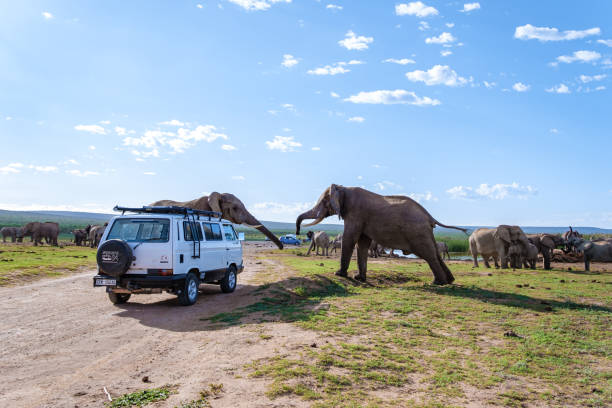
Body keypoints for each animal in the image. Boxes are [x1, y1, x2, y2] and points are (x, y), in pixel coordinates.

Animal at [296, 185, 464, 284]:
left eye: (324, 202)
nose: (298, 231)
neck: (344, 187)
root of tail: (429, 216)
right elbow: (362, 244)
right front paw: (359, 278)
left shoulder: (355, 214)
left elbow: (350, 239)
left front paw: (339, 275)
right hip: (425, 232)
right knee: (434, 253)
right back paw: (449, 281)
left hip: (417, 232)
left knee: (428, 255)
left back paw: (438, 283)